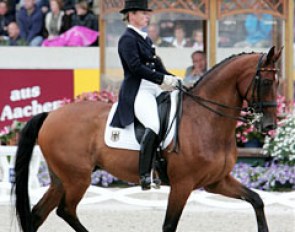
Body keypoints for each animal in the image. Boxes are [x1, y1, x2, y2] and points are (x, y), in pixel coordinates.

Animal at [13, 46, 282, 231]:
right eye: (266, 81)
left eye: (277, 82)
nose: (269, 125)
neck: (205, 119)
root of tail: (51, 114)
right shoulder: (183, 185)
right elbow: (169, 225)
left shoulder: (217, 181)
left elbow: (257, 200)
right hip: (77, 178)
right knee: (66, 211)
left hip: (62, 179)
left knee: (38, 214)